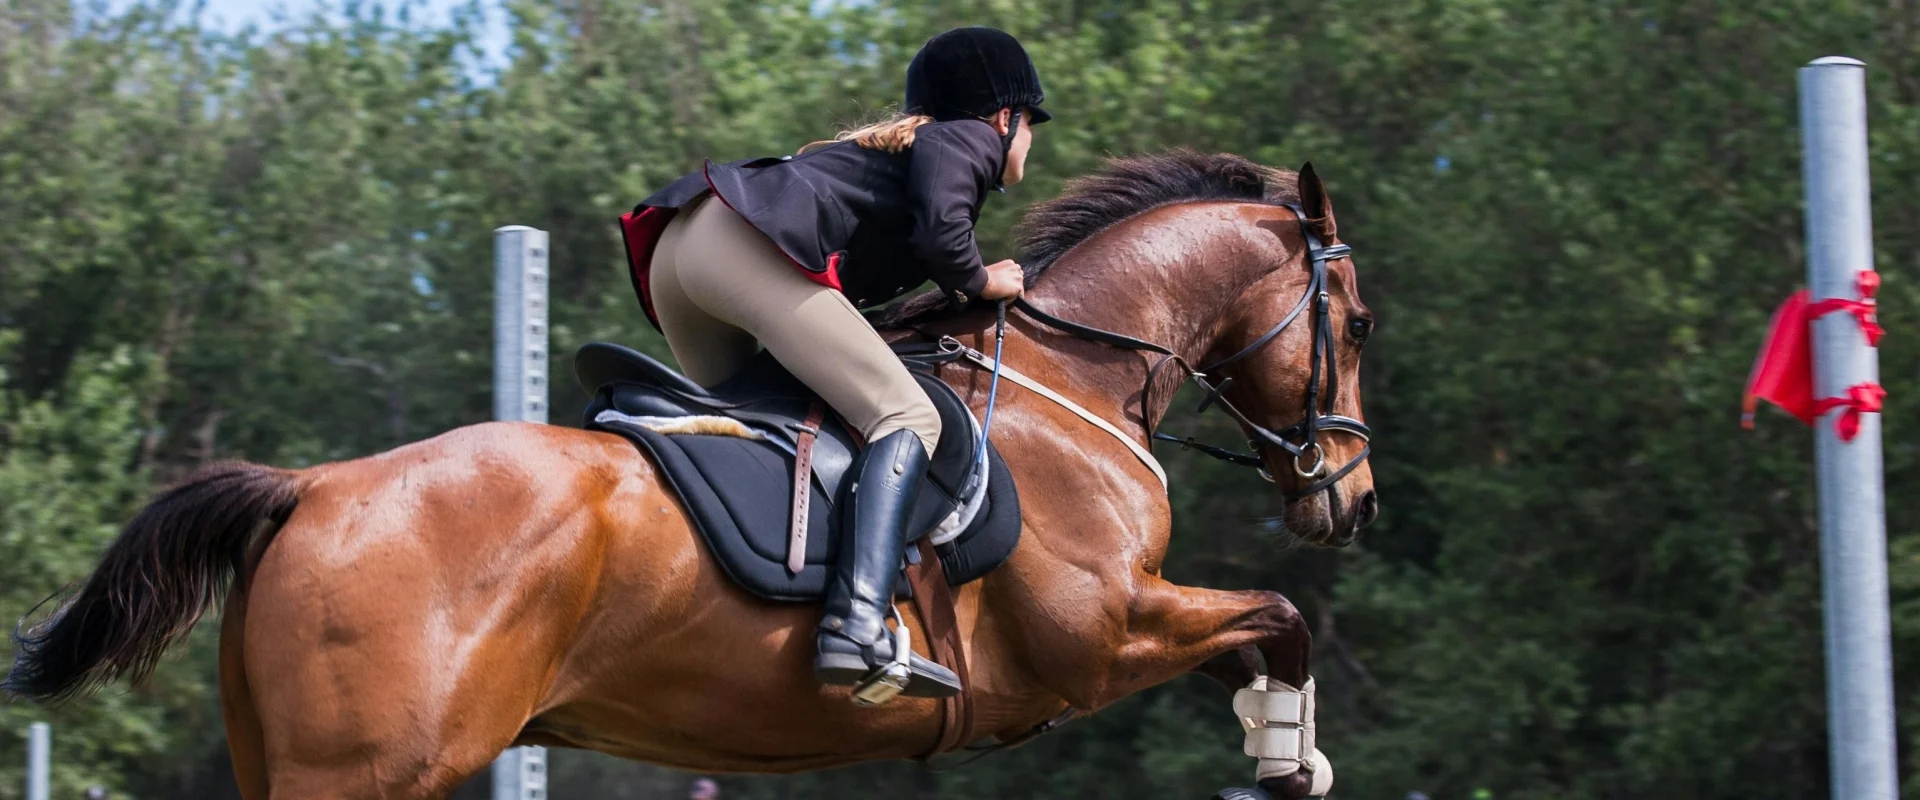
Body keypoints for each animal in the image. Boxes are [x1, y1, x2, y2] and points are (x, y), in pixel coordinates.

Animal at [4, 151, 1376, 799]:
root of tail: (313, 487)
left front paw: (1288, 752)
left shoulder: (1125, 629)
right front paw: (1285, 758)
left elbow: (1264, 631)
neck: (1067, 378)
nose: (1348, 497)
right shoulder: (1095, 636)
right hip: (363, 768)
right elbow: (1277, 615)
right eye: (1356, 324)